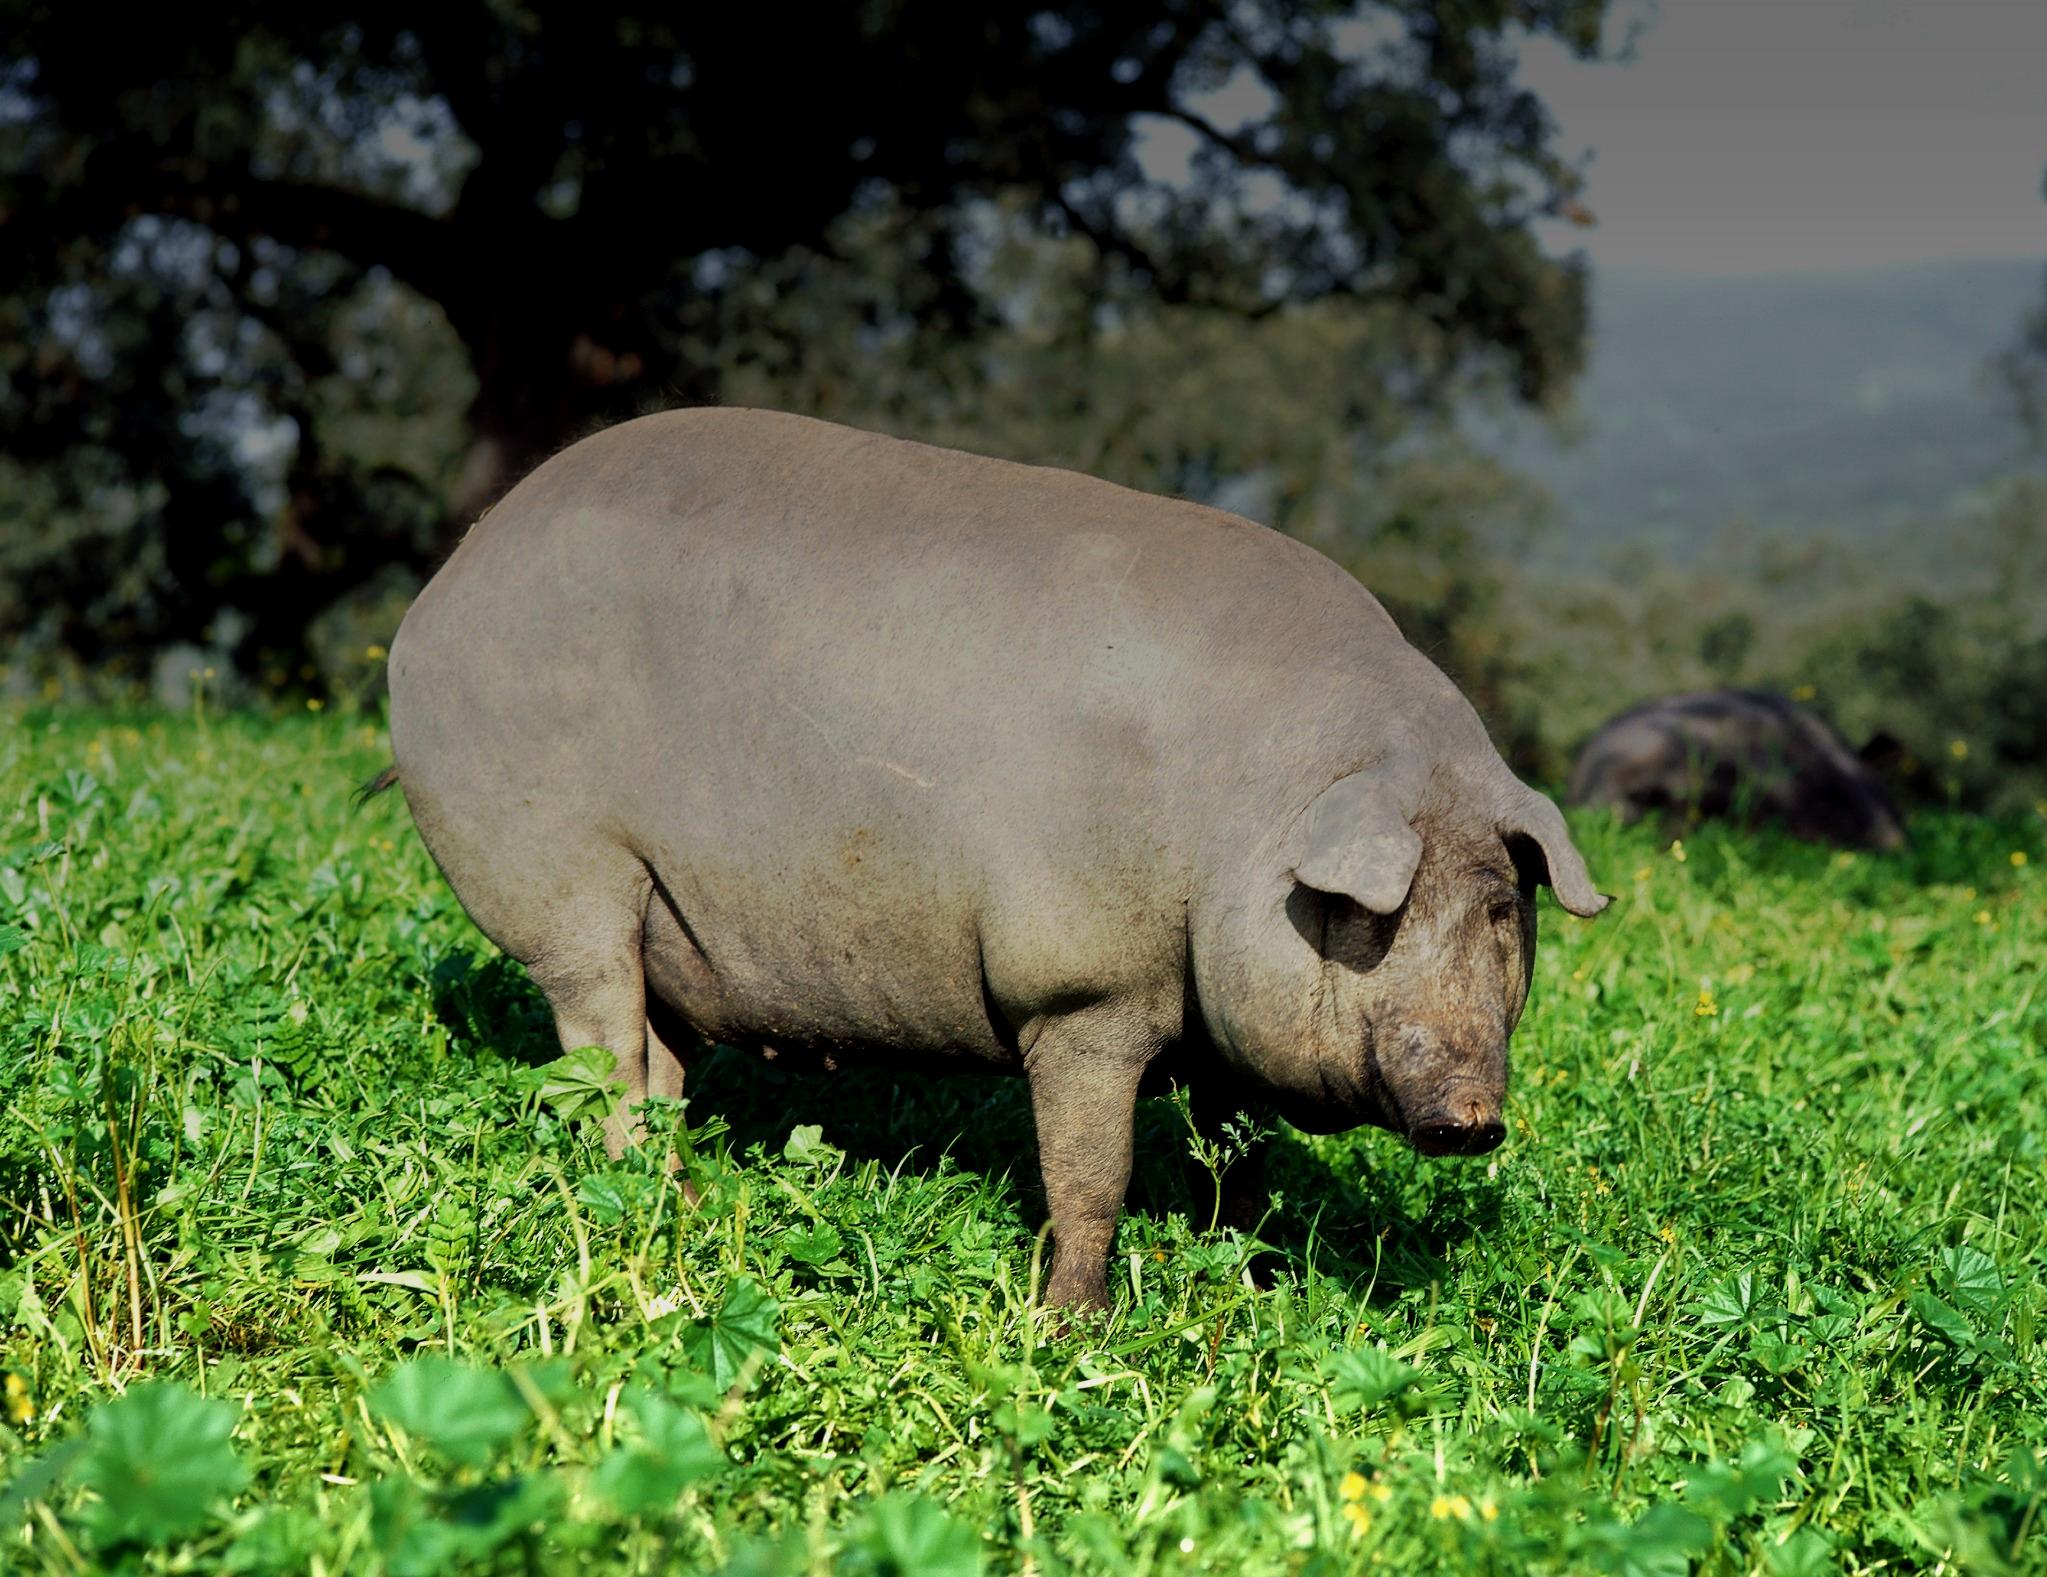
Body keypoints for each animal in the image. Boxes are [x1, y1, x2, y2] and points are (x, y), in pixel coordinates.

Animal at [376, 409, 1608, 1310]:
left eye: (1501, 910)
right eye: (1373, 915)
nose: (1470, 1114)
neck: (1240, 823)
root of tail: (443, 584)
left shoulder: (1215, 1035)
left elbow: (1237, 1168)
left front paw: (1251, 1281)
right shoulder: (1078, 984)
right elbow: (1090, 1173)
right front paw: (1074, 1323)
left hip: (664, 916)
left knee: (658, 1054)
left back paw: (684, 1200)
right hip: (555, 873)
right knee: (600, 1048)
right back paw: (640, 1207)